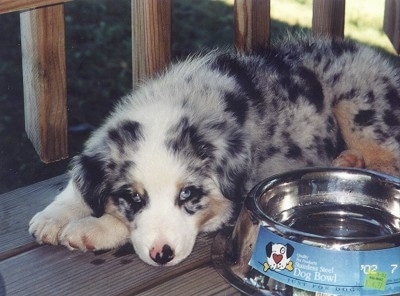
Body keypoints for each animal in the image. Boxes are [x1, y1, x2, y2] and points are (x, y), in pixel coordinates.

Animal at [29, 35, 400, 266]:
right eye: (133, 197)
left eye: (188, 195)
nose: (162, 255)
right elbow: (77, 187)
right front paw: (52, 217)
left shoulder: (235, 197)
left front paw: (90, 229)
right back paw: (346, 159)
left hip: (358, 105)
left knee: (388, 159)